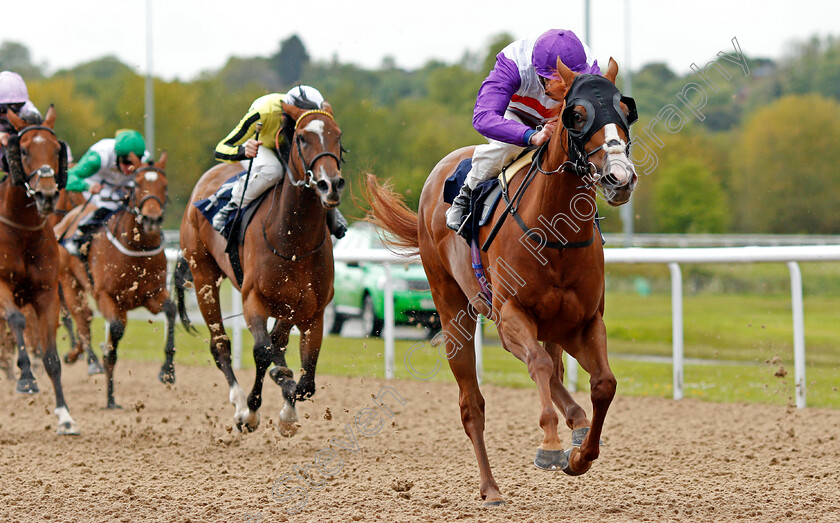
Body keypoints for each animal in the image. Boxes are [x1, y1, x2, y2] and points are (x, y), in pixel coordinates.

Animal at [55, 155, 177, 410]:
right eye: (137, 185)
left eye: (164, 186)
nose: (152, 219)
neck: (136, 247)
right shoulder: (107, 297)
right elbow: (115, 334)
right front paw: (110, 398)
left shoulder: (152, 294)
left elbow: (171, 310)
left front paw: (168, 371)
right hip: (69, 282)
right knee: (81, 317)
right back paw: (89, 360)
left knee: (83, 319)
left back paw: (75, 354)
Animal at [176, 98, 346, 434]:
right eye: (301, 138)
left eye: (338, 136)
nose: (329, 184)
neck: (294, 241)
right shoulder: (253, 299)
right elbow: (263, 353)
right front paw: (253, 409)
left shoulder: (312, 310)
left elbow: (306, 377)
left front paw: (288, 406)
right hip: (204, 276)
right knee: (221, 343)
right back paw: (240, 402)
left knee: (277, 343)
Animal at [364, 59, 640, 506]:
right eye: (577, 115)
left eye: (625, 110)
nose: (620, 177)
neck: (556, 233)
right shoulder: (511, 314)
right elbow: (540, 366)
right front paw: (550, 446)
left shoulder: (583, 322)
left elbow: (603, 384)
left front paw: (581, 454)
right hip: (454, 312)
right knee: (473, 403)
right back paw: (491, 487)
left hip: (548, 327)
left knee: (554, 372)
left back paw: (576, 423)